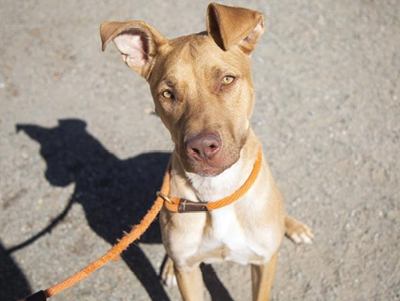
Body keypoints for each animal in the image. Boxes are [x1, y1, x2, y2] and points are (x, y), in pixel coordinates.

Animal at [100, 2, 312, 300]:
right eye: (167, 94)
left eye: (227, 79)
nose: (201, 146)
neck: (217, 192)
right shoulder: (188, 271)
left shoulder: (264, 263)